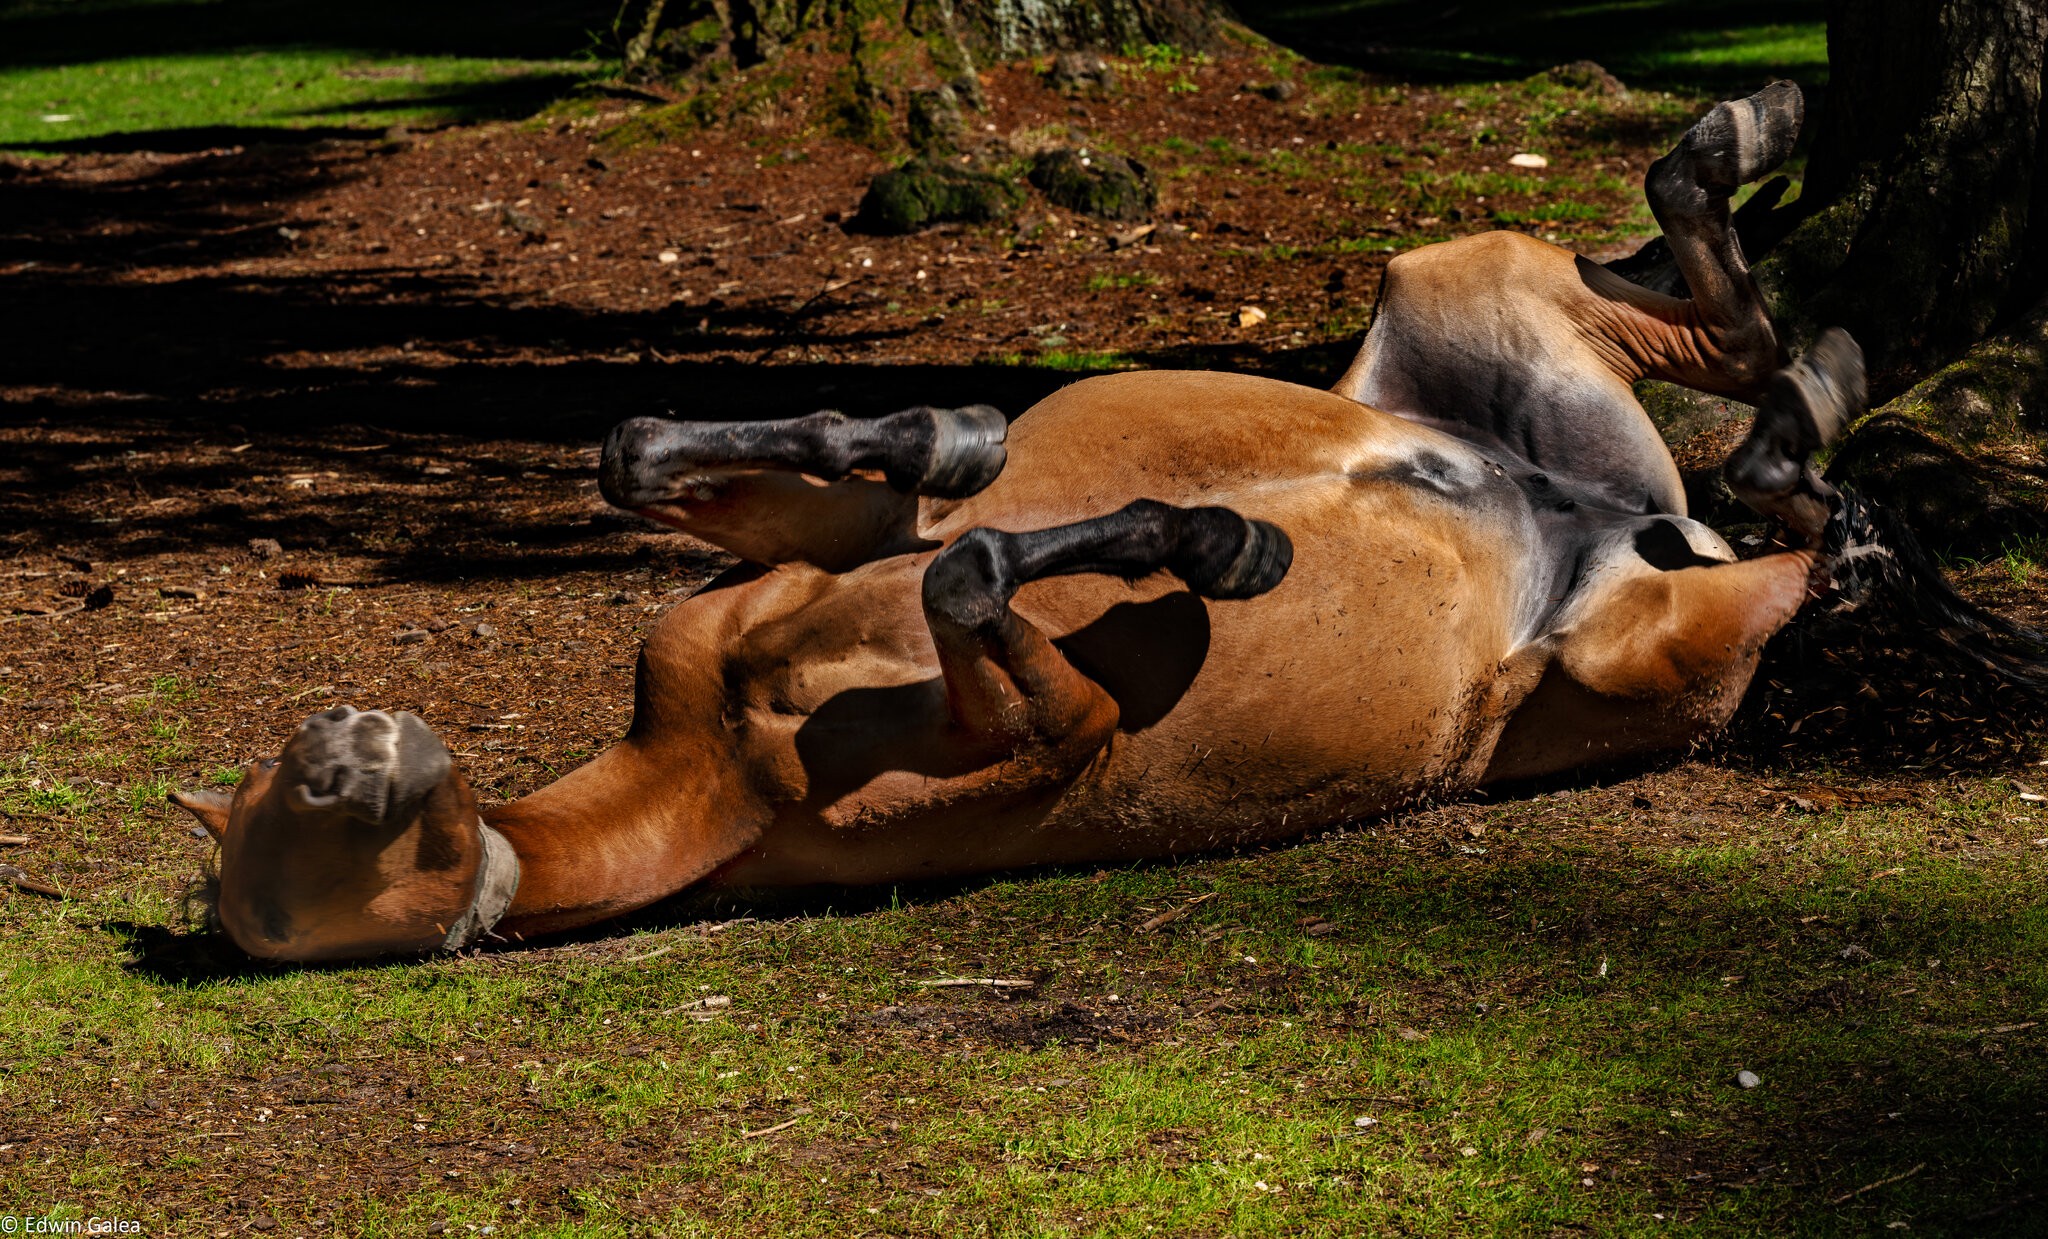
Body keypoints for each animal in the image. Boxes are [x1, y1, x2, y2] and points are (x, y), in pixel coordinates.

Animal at [167, 81, 1892, 962]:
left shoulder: (781, 570)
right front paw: (1215, 541)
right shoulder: (1065, 740)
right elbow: (982, 579)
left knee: (1716, 321)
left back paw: (1760, 159)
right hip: (1643, 644)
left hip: (1455, 284)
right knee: (1768, 462)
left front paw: (962, 434)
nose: (351, 738)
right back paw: (1813, 449)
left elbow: (684, 461)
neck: (718, 750)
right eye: (288, 816)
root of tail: (1615, 525)